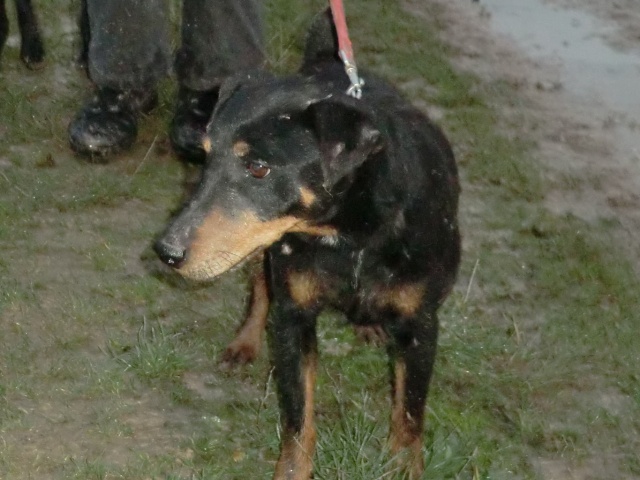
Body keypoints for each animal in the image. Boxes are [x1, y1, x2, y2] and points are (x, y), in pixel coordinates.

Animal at [155, 10, 460, 480]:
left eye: (258, 168)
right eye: (204, 154)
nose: (166, 251)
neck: (349, 237)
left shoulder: (421, 326)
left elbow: (409, 417)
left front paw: (403, 467)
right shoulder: (294, 318)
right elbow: (299, 418)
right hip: (262, 253)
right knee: (259, 290)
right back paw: (244, 342)